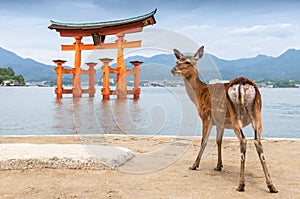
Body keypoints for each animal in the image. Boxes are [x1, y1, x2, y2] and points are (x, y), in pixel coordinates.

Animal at [171, 45, 278, 192]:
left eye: (187, 62)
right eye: (177, 61)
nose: (173, 69)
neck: (199, 95)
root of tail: (242, 85)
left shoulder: (206, 116)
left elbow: (204, 141)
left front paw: (194, 165)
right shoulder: (220, 122)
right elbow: (218, 141)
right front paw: (218, 166)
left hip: (235, 114)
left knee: (243, 140)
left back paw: (241, 184)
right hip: (257, 112)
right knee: (257, 141)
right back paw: (271, 185)